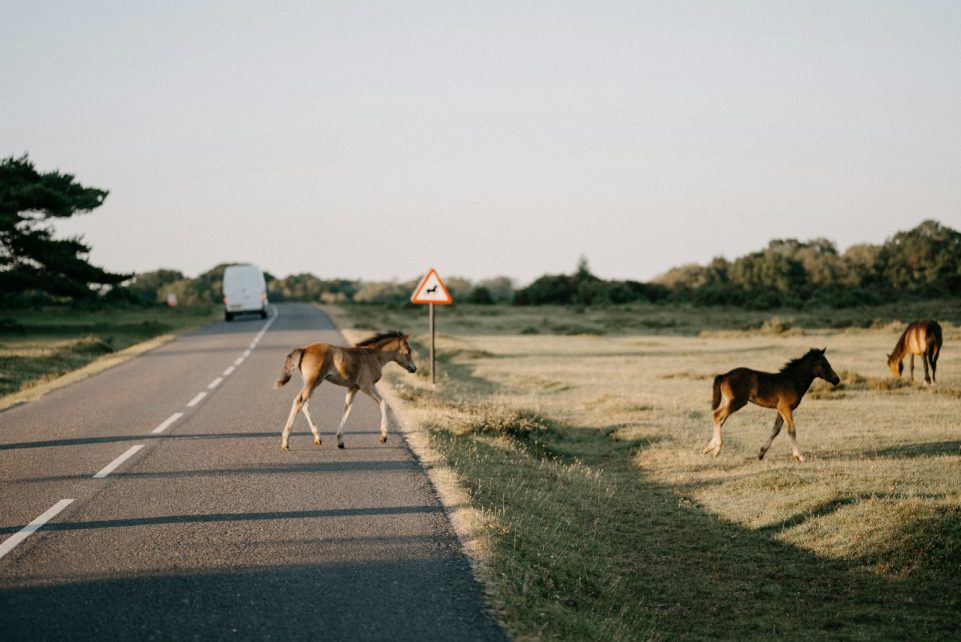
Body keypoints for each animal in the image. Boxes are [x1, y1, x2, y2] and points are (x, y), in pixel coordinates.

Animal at [274, 331, 417, 450]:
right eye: (408, 351)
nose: (414, 368)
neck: (373, 356)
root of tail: (304, 349)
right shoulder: (367, 386)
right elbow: (383, 403)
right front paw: (383, 437)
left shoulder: (353, 388)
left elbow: (348, 409)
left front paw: (340, 441)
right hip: (314, 381)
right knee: (299, 401)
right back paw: (285, 442)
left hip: (311, 382)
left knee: (304, 403)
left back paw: (317, 438)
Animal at [705, 348, 840, 462]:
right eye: (823, 364)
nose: (836, 379)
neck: (792, 381)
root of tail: (724, 375)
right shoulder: (785, 408)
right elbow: (791, 430)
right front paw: (799, 456)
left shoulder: (781, 409)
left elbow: (776, 430)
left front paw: (761, 454)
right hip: (737, 402)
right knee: (717, 415)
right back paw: (716, 449)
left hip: (731, 402)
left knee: (721, 420)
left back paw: (709, 448)